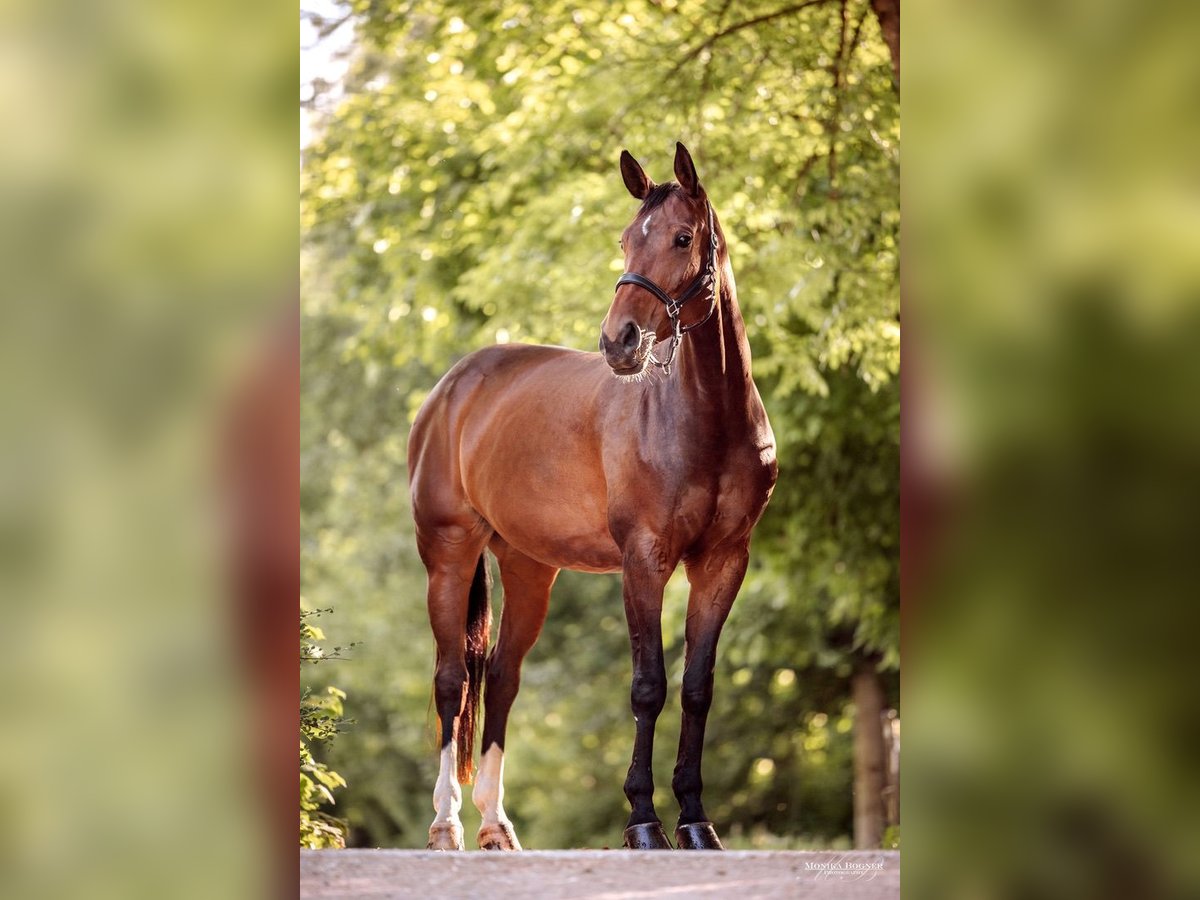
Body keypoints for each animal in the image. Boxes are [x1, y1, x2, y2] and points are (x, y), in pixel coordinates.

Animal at [408, 141, 772, 854]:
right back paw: (445, 823)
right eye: (627, 239)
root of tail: (452, 387)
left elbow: (697, 687)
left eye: (682, 237)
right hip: (448, 555)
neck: (705, 421)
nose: (619, 341)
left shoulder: (723, 562)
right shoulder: (644, 561)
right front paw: (643, 822)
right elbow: (648, 685)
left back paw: (496, 824)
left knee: (501, 677)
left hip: (528, 567)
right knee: (451, 682)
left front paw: (696, 821)